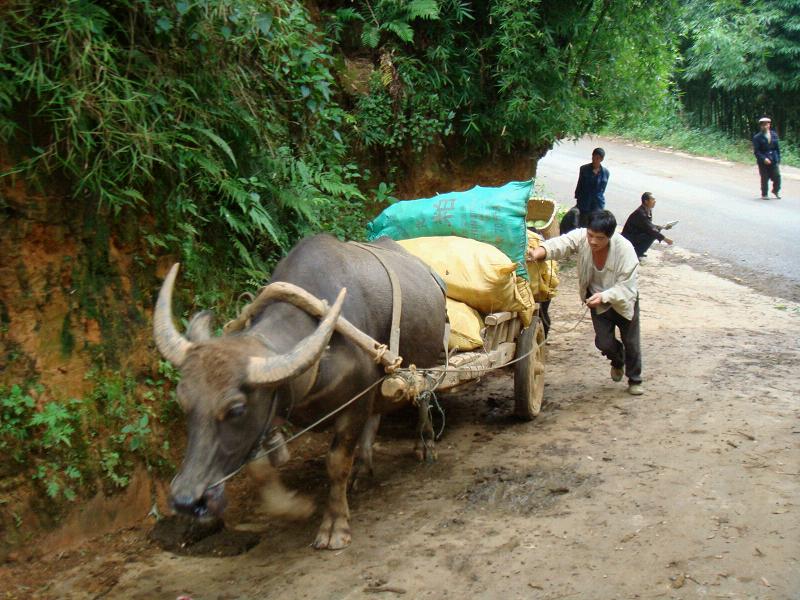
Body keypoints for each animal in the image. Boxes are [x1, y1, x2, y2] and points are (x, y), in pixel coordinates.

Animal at [153, 233, 446, 548]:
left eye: (236, 409)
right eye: (183, 401)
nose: (185, 500)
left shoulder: (353, 404)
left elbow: (336, 463)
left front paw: (334, 526)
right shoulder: (273, 411)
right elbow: (259, 470)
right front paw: (294, 507)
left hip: (427, 364)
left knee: (424, 398)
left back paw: (425, 445)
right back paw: (363, 468)